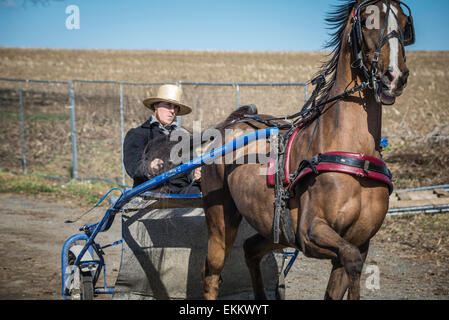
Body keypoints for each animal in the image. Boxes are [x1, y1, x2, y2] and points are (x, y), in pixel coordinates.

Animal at [200, 0, 412, 300]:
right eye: (367, 21)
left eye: (405, 24)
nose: (394, 76)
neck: (354, 155)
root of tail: (231, 123)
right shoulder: (311, 233)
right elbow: (352, 261)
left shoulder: (359, 241)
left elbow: (348, 267)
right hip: (220, 221)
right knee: (211, 272)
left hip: (273, 230)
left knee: (251, 250)